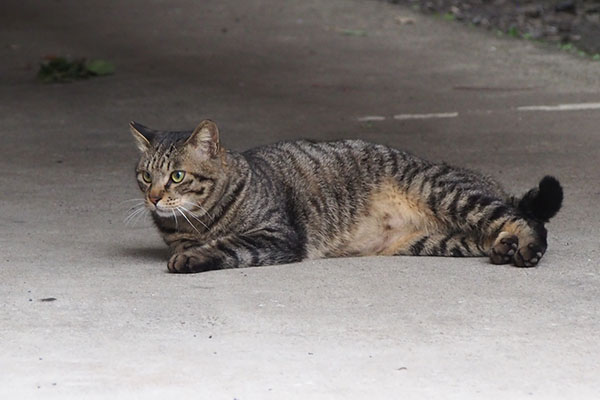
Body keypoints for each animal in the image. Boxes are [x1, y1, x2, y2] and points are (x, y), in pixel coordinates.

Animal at [127, 119, 564, 272]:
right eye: (145, 176)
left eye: (177, 176)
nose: (153, 198)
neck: (197, 222)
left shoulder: (278, 236)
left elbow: (229, 246)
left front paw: (192, 257)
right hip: (438, 240)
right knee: (495, 231)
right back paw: (505, 247)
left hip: (446, 192)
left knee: (526, 219)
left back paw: (526, 249)